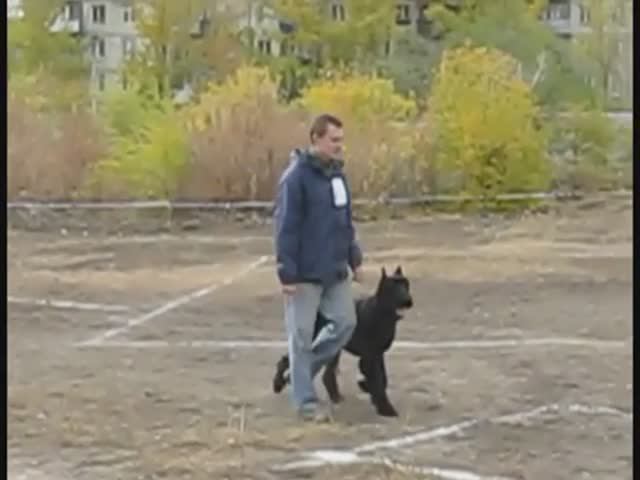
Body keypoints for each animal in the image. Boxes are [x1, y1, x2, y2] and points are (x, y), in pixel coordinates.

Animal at [272, 266, 412, 416]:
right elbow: (378, 381)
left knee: (325, 374)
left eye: (406, 284)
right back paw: (278, 384)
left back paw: (335, 396)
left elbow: (383, 378)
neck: (381, 313)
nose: (407, 300)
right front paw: (385, 408)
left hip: (334, 350)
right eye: (392, 287)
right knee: (288, 360)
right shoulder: (370, 357)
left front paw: (368, 389)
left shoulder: (377, 355)